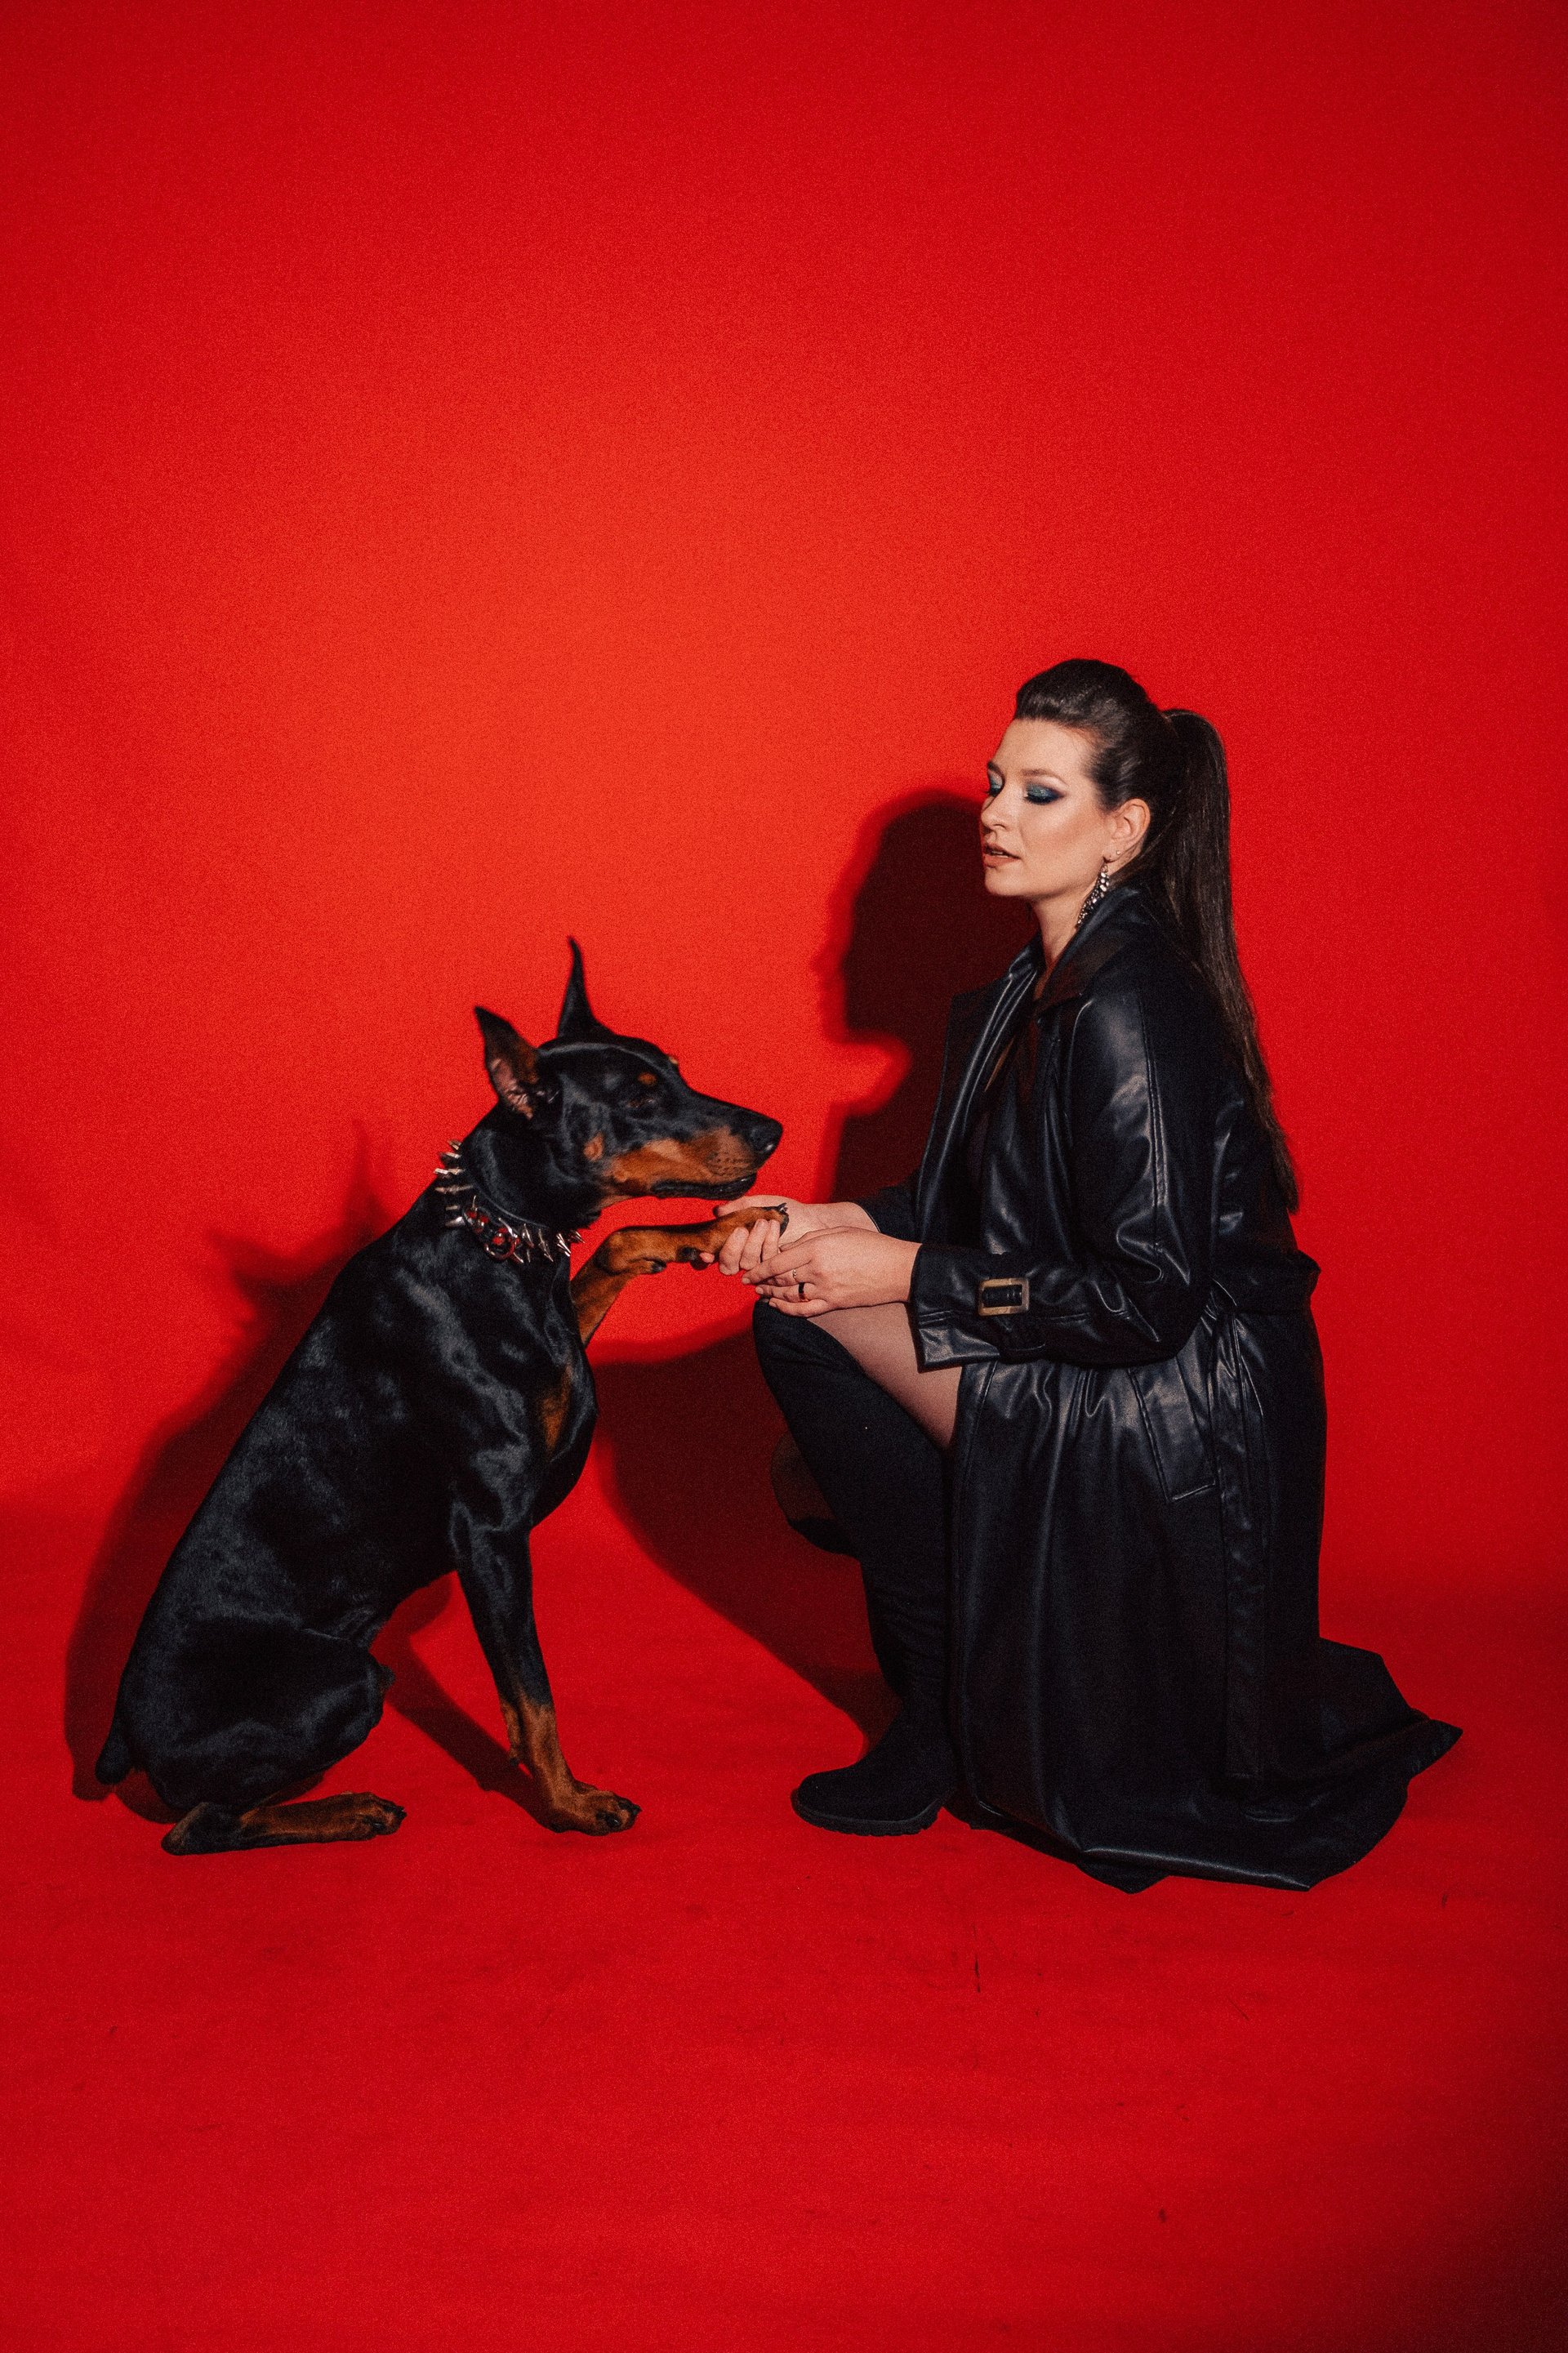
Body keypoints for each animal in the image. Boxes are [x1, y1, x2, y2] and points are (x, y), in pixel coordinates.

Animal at [96, 944, 783, 1855]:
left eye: (673, 1070)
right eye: (638, 1098)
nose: (773, 1131)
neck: (497, 1238)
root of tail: (123, 1740)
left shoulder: (562, 1324)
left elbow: (618, 1242)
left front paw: (715, 1232)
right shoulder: (489, 1528)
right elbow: (532, 1699)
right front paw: (570, 1805)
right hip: (349, 1676)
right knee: (199, 1826)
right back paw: (349, 1809)